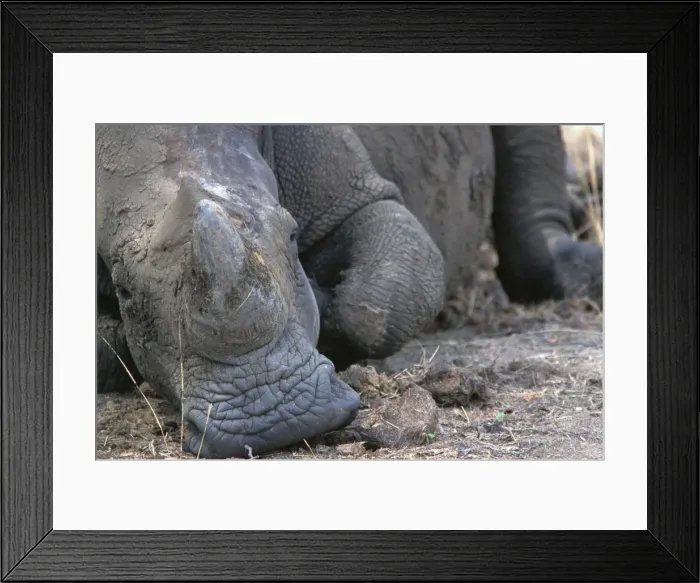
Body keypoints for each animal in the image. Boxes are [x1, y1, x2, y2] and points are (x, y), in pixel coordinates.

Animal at [96, 124, 602, 459]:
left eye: (293, 235)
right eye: (124, 290)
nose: (278, 419)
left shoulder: (359, 194)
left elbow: (388, 295)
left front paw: (319, 297)